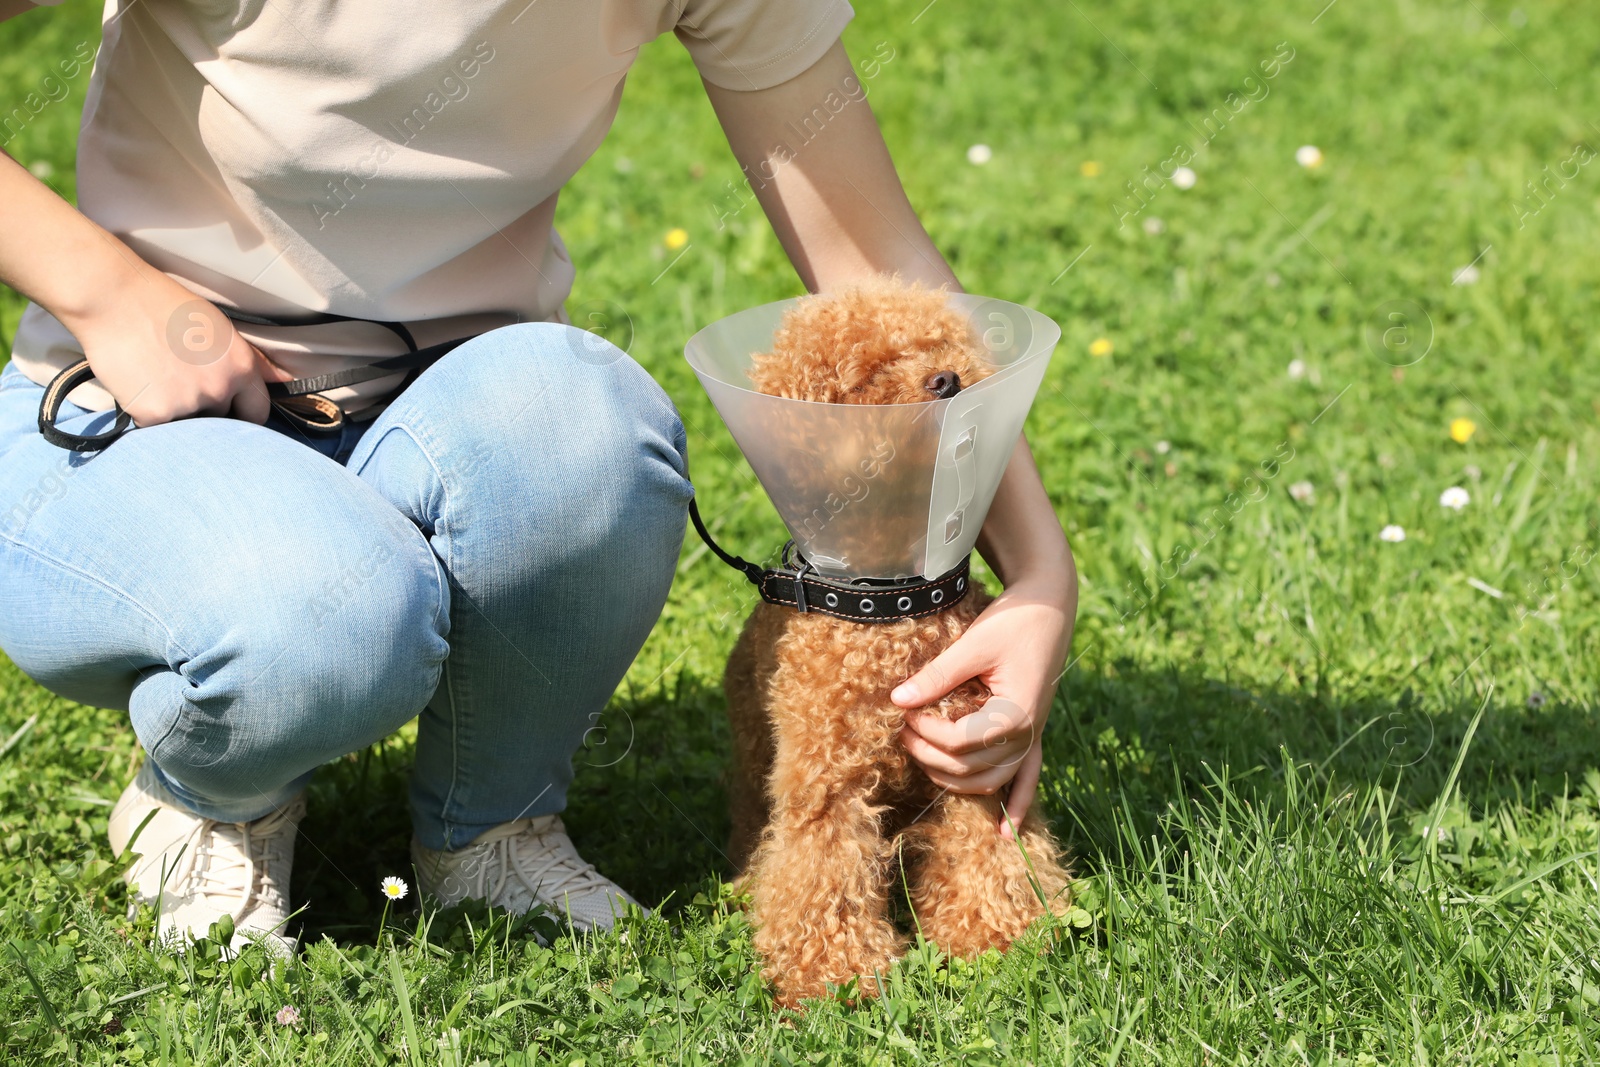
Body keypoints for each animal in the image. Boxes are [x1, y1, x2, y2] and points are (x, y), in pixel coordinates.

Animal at [723, 279, 1068, 1004]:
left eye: (937, 342)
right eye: (864, 376)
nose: (945, 379)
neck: (892, 599)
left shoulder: (967, 756)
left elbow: (983, 848)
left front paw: (995, 936)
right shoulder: (826, 782)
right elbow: (821, 872)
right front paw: (837, 978)